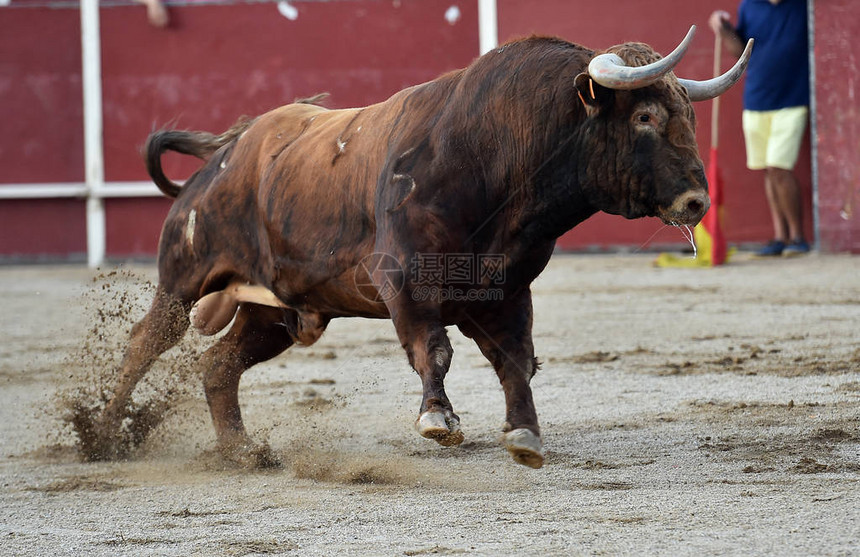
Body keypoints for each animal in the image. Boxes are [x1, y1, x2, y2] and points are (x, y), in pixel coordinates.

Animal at [87, 27, 752, 470]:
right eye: (644, 116)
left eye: (689, 115)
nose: (697, 200)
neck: (494, 155)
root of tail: (228, 150)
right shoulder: (406, 282)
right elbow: (433, 349)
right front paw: (438, 418)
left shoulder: (507, 290)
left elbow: (516, 359)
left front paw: (525, 435)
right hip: (185, 276)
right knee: (146, 342)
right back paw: (102, 435)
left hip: (274, 310)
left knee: (218, 365)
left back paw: (243, 452)